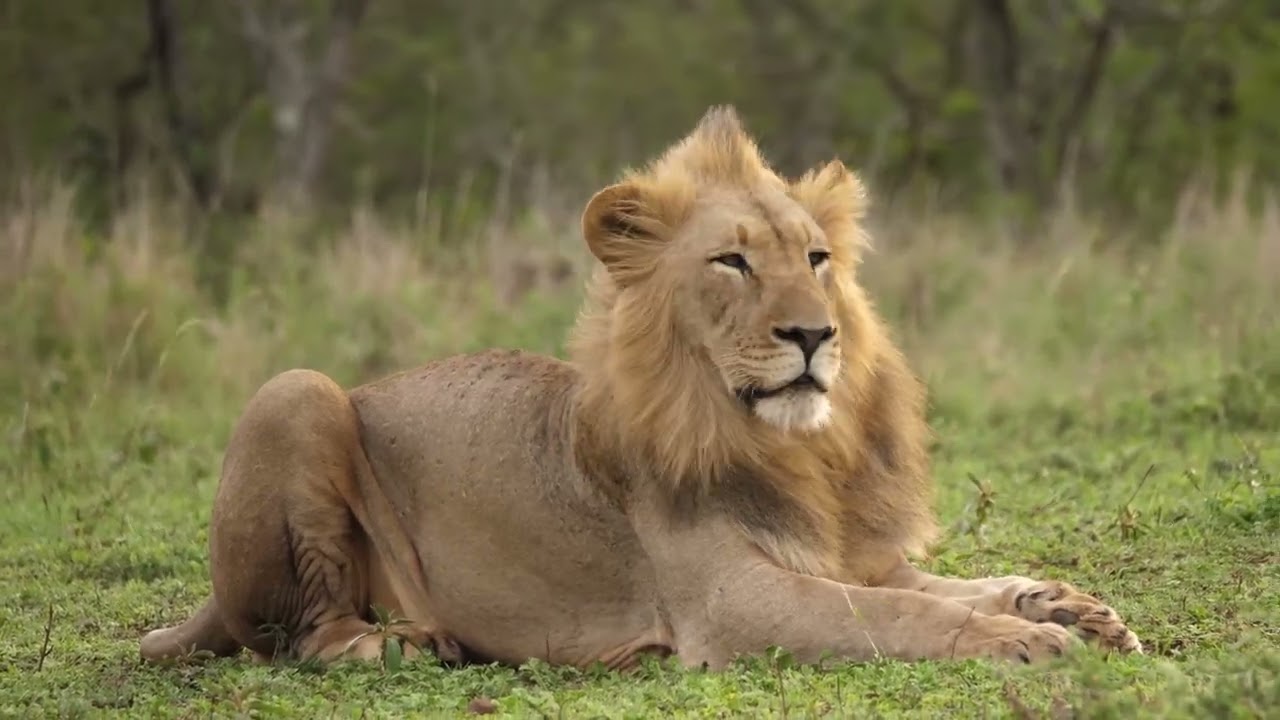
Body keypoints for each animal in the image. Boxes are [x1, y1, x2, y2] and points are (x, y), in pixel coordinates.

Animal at [140, 106, 1141, 671]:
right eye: (734, 262)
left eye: (816, 258)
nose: (813, 334)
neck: (796, 446)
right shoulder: (730, 603)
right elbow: (899, 612)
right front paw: (1022, 641)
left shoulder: (850, 553)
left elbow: (956, 585)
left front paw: (1068, 609)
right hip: (296, 390)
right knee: (297, 635)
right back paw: (392, 642)